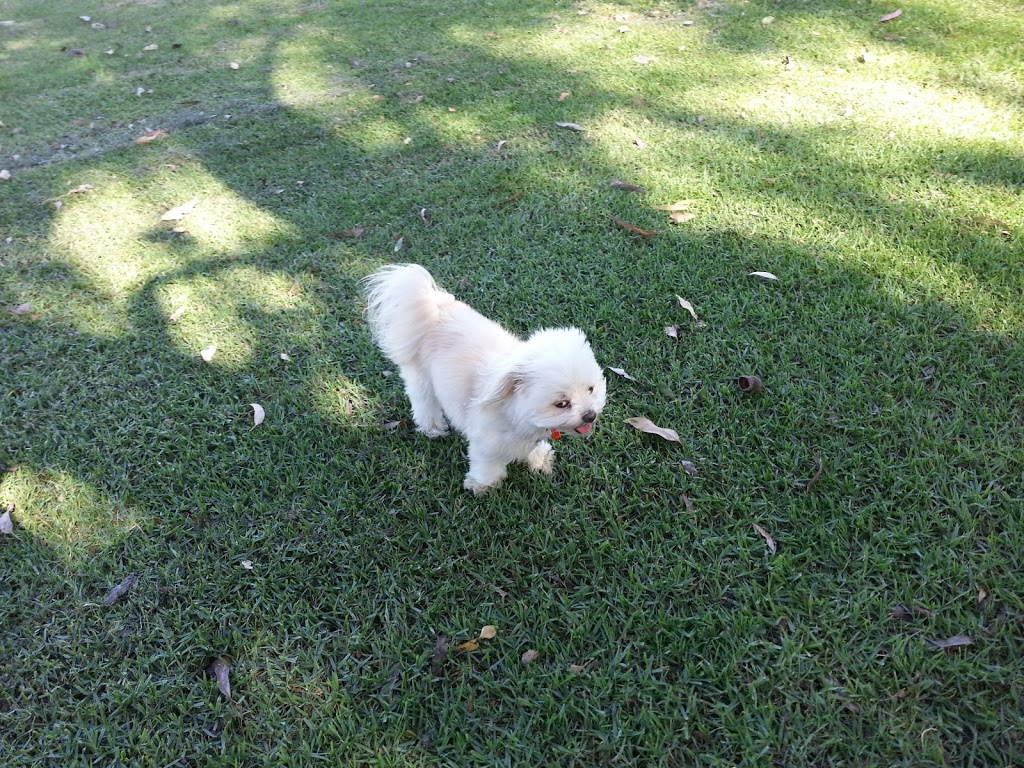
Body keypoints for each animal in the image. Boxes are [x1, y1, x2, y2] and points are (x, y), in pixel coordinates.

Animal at [366, 262, 606, 495]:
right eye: (562, 404)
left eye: (590, 389)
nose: (590, 415)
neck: (511, 407)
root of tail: (435, 306)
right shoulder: (486, 442)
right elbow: (487, 465)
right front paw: (482, 486)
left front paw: (540, 460)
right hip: (421, 379)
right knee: (424, 404)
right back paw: (433, 428)